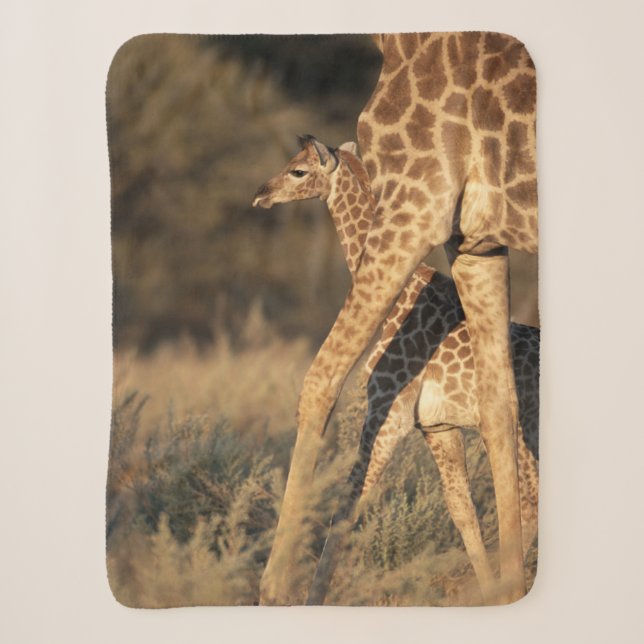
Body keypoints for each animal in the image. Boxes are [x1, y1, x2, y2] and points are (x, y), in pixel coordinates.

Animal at [258, 32, 538, 605]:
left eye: (299, 169)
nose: (261, 194)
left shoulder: (388, 410)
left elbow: (350, 501)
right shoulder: (438, 426)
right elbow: (462, 512)